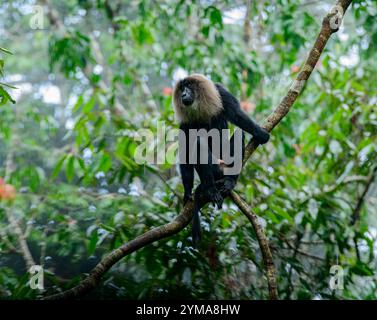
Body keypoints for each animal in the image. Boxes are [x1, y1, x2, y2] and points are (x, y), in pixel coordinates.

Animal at [172, 74, 268, 245]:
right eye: (182, 88)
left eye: (188, 87)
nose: (183, 94)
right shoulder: (185, 121)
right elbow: (186, 150)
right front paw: (187, 193)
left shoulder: (221, 92)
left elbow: (237, 115)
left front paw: (260, 133)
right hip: (215, 167)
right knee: (199, 144)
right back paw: (210, 188)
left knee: (239, 133)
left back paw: (230, 181)